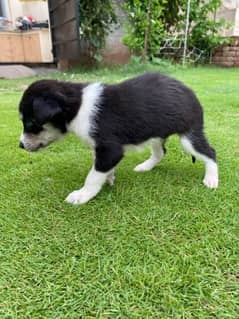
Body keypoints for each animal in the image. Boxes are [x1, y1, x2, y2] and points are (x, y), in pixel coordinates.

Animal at [19, 73, 218, 205]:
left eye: (30, 123)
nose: (20, 145)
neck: (79, 105)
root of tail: (191, 92)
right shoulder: (100, 149)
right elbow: (99, 167)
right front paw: (109, 178)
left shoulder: (110, 149)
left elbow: (93, 175)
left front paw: (82, 195)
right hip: (155, 133)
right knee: (161, 152)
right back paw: (145, 166)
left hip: (189, 135)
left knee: (210, 152)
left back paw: (211, 180)